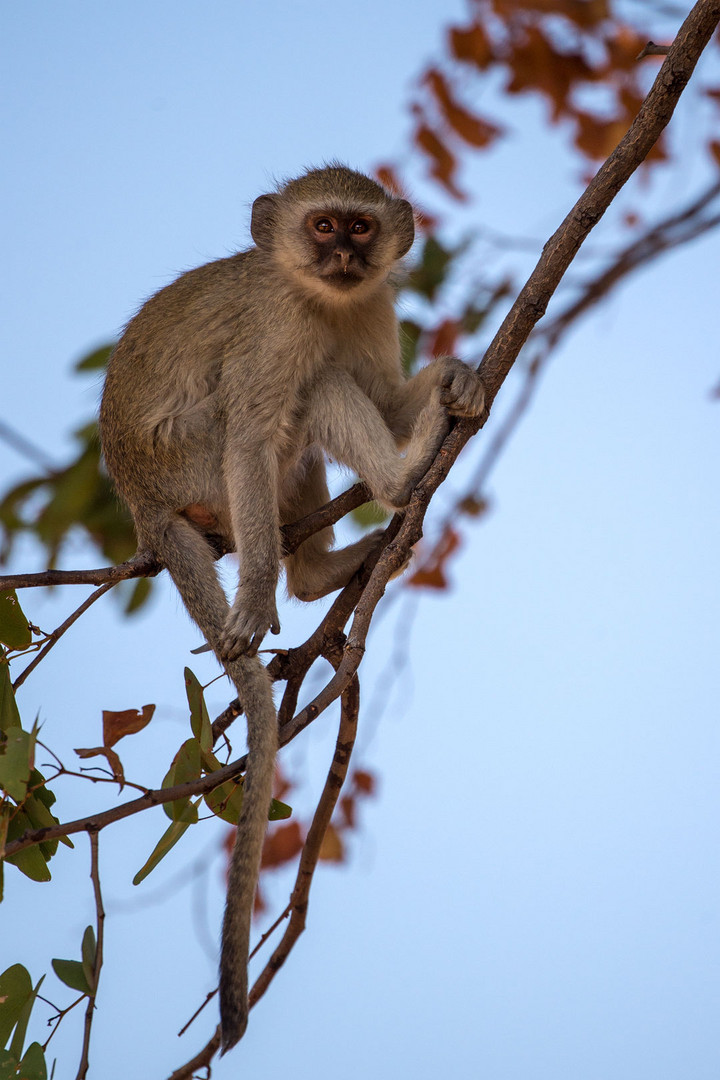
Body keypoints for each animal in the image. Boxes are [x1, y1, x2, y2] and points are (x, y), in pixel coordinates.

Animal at [98, 164, 487, 1049]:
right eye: (321, 227)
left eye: (358, 227)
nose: (343, 255)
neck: (325, 300)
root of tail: (140, 502)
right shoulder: (272, 337)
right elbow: (253, 433)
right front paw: (252, 600)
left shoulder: (372, 308)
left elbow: (388, 398)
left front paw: (454, 377)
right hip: (192, 465)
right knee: (304, 400)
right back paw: (396, 486)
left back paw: (322, 572)